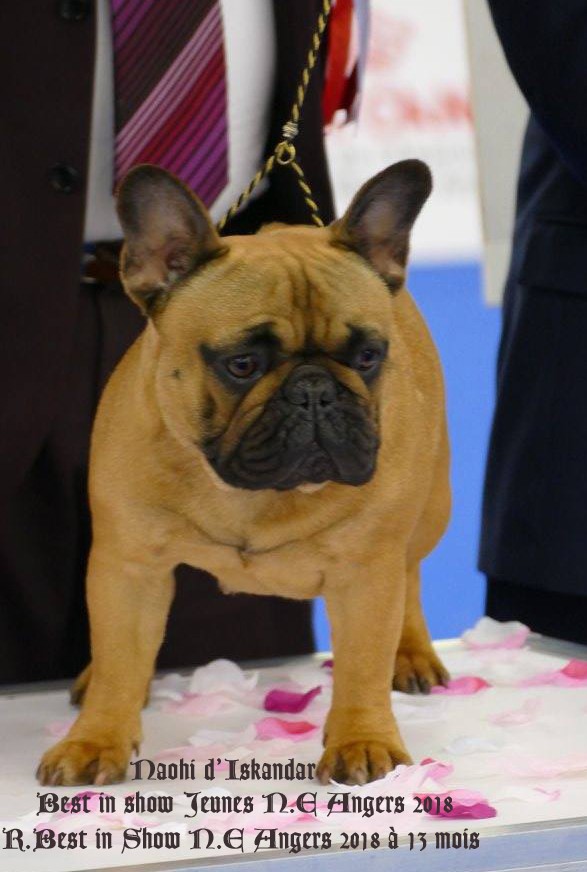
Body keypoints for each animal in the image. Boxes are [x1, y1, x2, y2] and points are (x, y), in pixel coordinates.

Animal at [37, 159, 450, 787]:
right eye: (242, 364)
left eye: (368, 357)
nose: (314, 390)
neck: (250, 489)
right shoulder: (128, 565)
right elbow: (119, 657)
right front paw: (95, 738)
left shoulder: (365, 572)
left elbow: (362, 667)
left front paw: (364, 740)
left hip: (430, 509)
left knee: (413, 573)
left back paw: (411, 653)